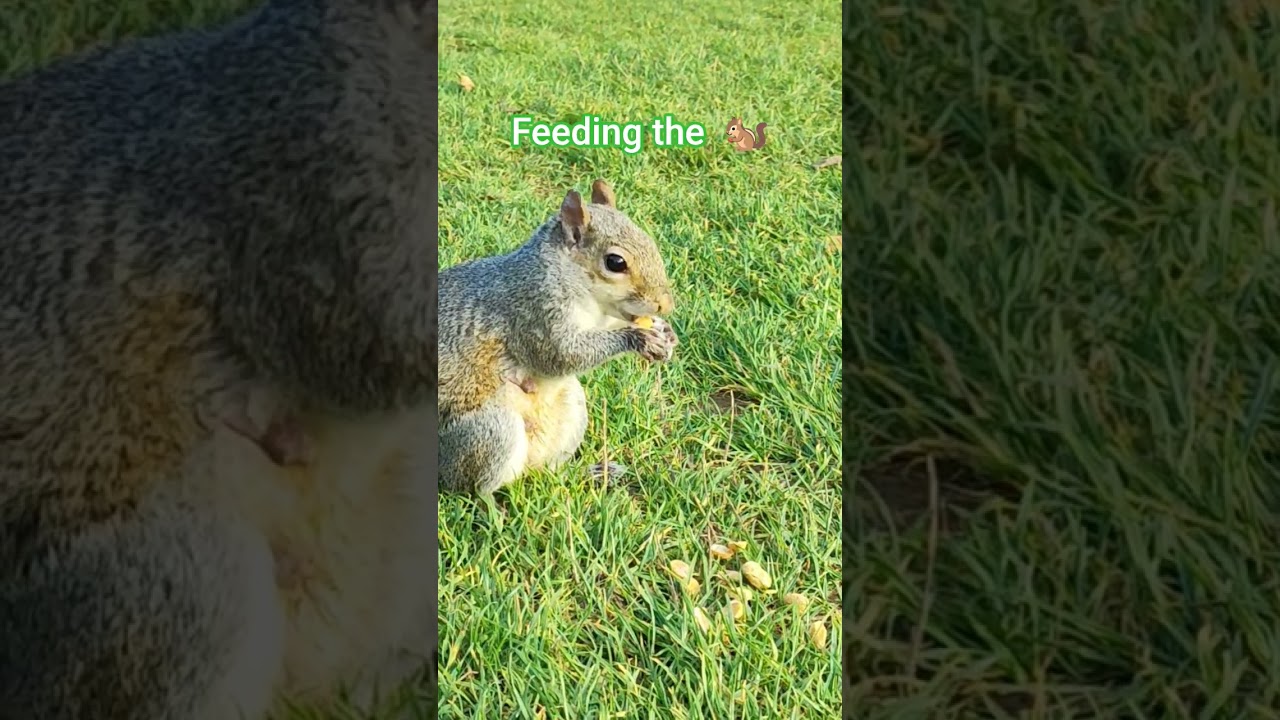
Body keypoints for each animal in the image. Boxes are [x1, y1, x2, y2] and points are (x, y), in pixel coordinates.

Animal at [437, 179, 678, 495]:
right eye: (615, 262)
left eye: (649, 241)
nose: (665, 304)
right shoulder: (534, 311)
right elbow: (561, 354)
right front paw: (637, 338)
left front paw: (665, 332)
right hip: (490, 432)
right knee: (477, 490)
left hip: (571, 408)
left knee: (545, 472)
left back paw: (586, 474)